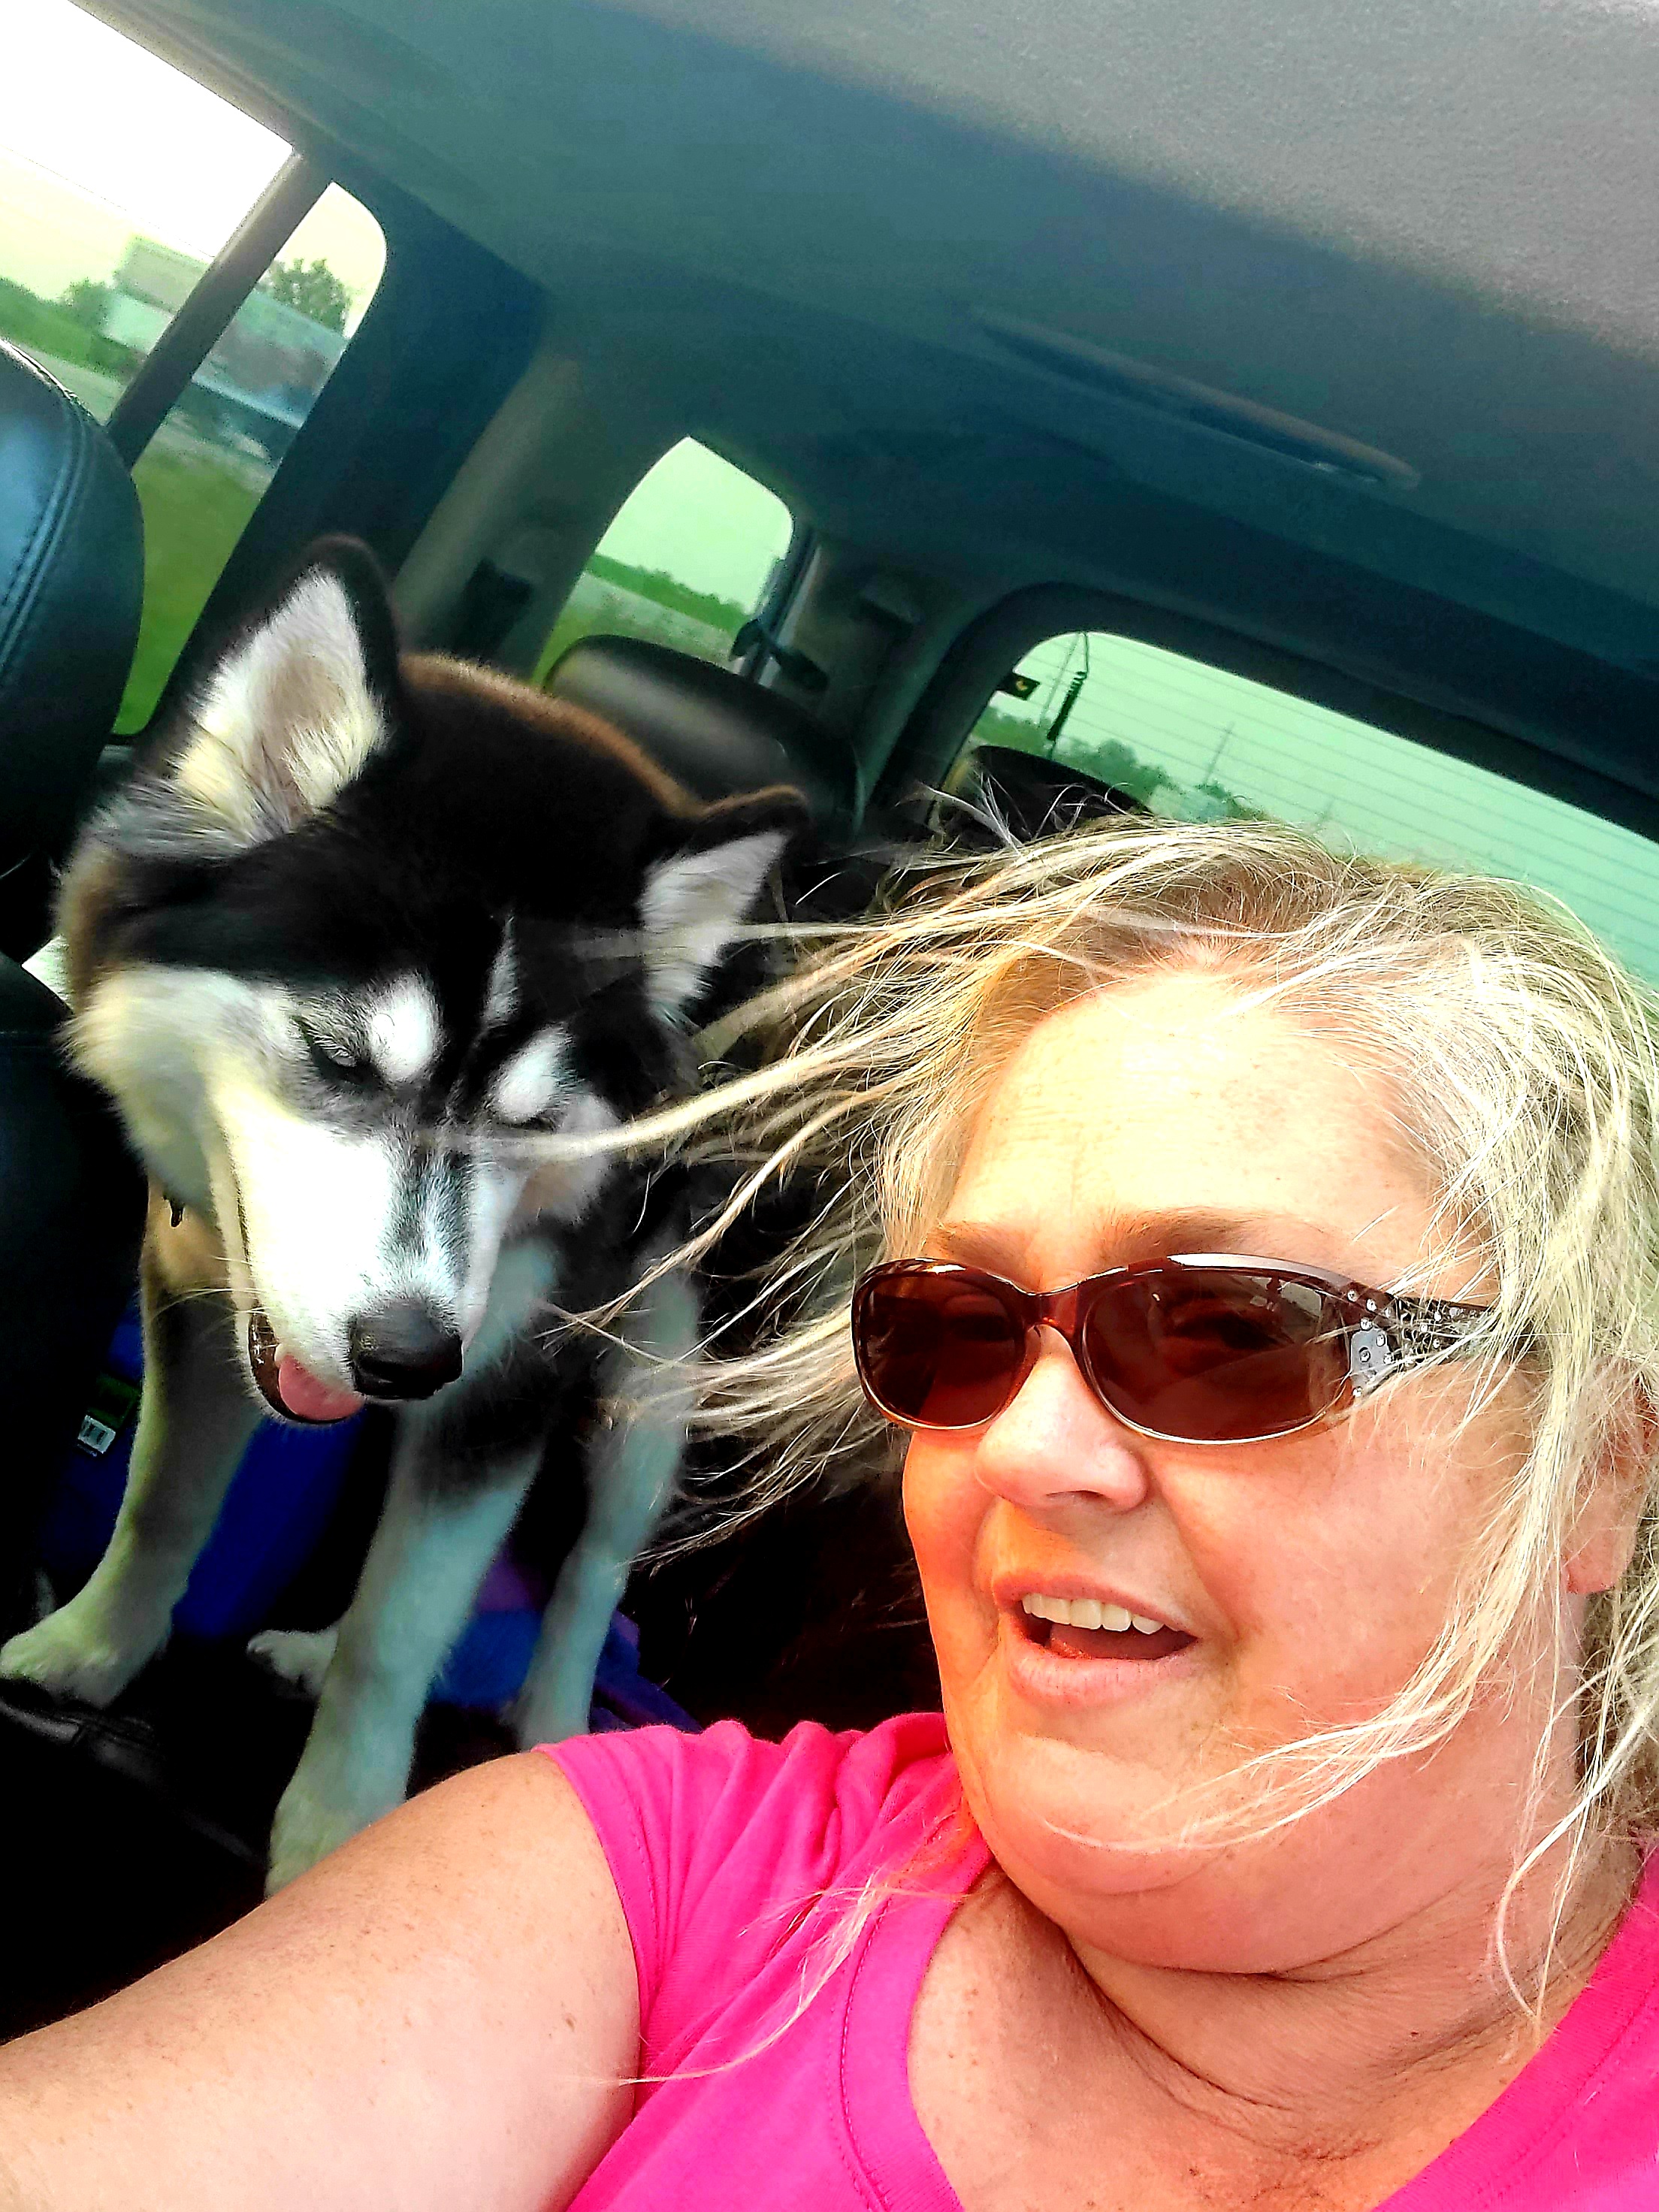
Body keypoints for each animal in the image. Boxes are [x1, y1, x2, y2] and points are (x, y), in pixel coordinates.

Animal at [0, 539, 801, 1888]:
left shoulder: (506, 1371)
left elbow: (406, 1621)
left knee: (586, 1571)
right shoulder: (198, 1289)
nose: (406, 1354)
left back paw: (550, 1715)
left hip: (645, 1379)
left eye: (535, 1125)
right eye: (338, 1056)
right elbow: (166, 1502)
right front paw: (90, 1647)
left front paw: (339, 1823)